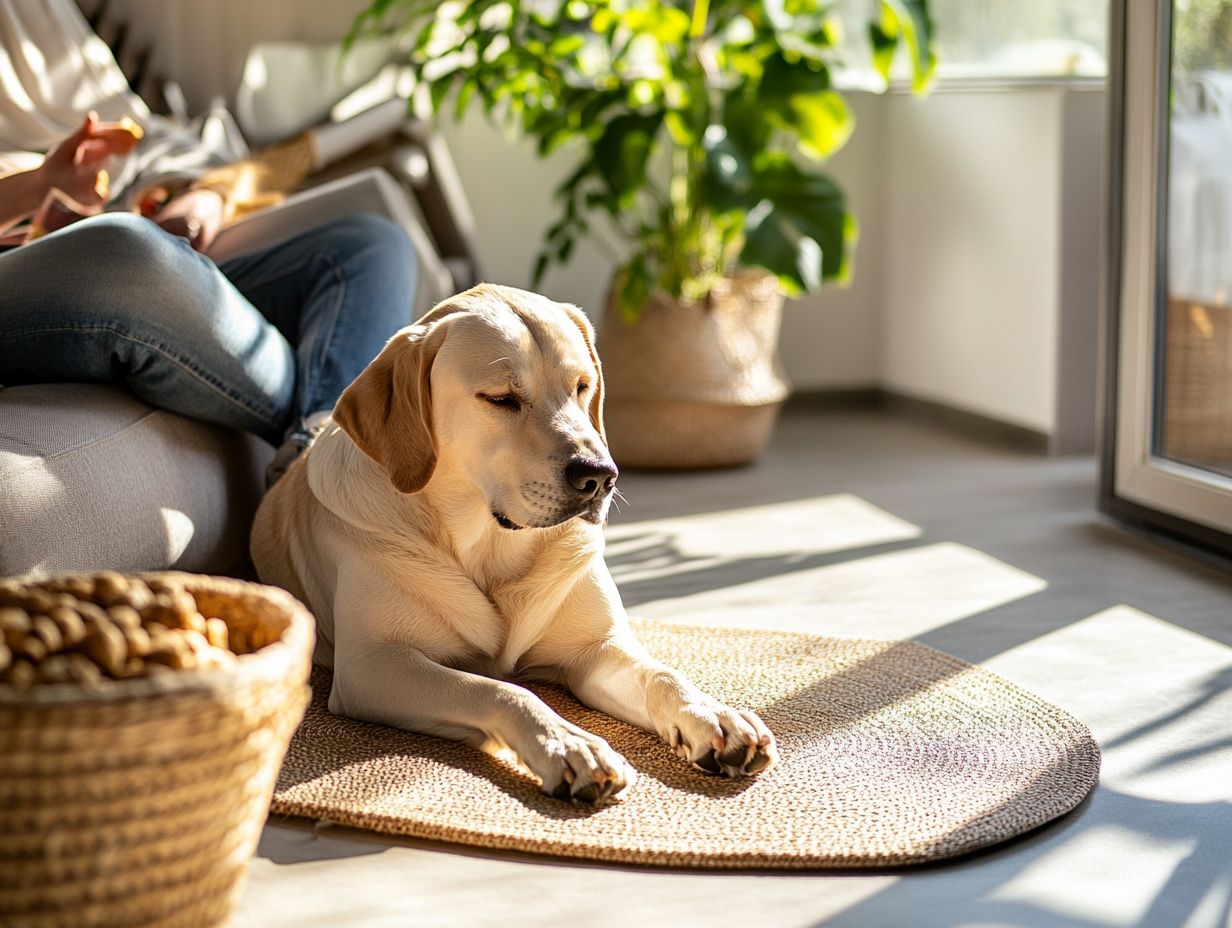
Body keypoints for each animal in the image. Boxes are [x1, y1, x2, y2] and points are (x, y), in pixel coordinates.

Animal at [251, 282, 778, 803]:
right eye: (501, 398)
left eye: (582, 386)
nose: (599, 476)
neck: (489, 546)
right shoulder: (373, 664)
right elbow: (497, 689)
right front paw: (571, 744)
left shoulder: (596, 649)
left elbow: (663, 673)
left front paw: (713, 715)